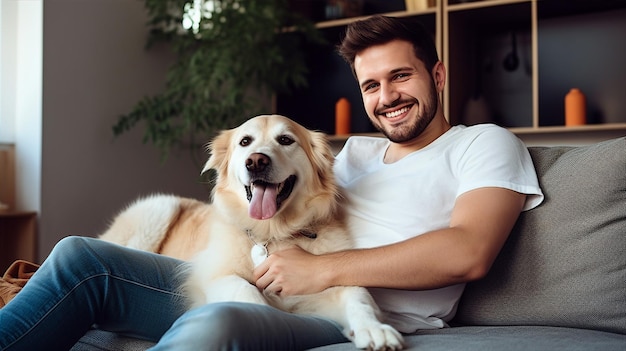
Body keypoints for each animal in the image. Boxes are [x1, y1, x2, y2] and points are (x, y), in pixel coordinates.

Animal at [97, 114, 400, 350]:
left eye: (286, 140)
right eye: (245, 142)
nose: (256, 161)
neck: (271, 233)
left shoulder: (326, 284)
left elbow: (359, 297)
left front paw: (374, 329)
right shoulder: (212, 274)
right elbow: (246, 290)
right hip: (160, 206)